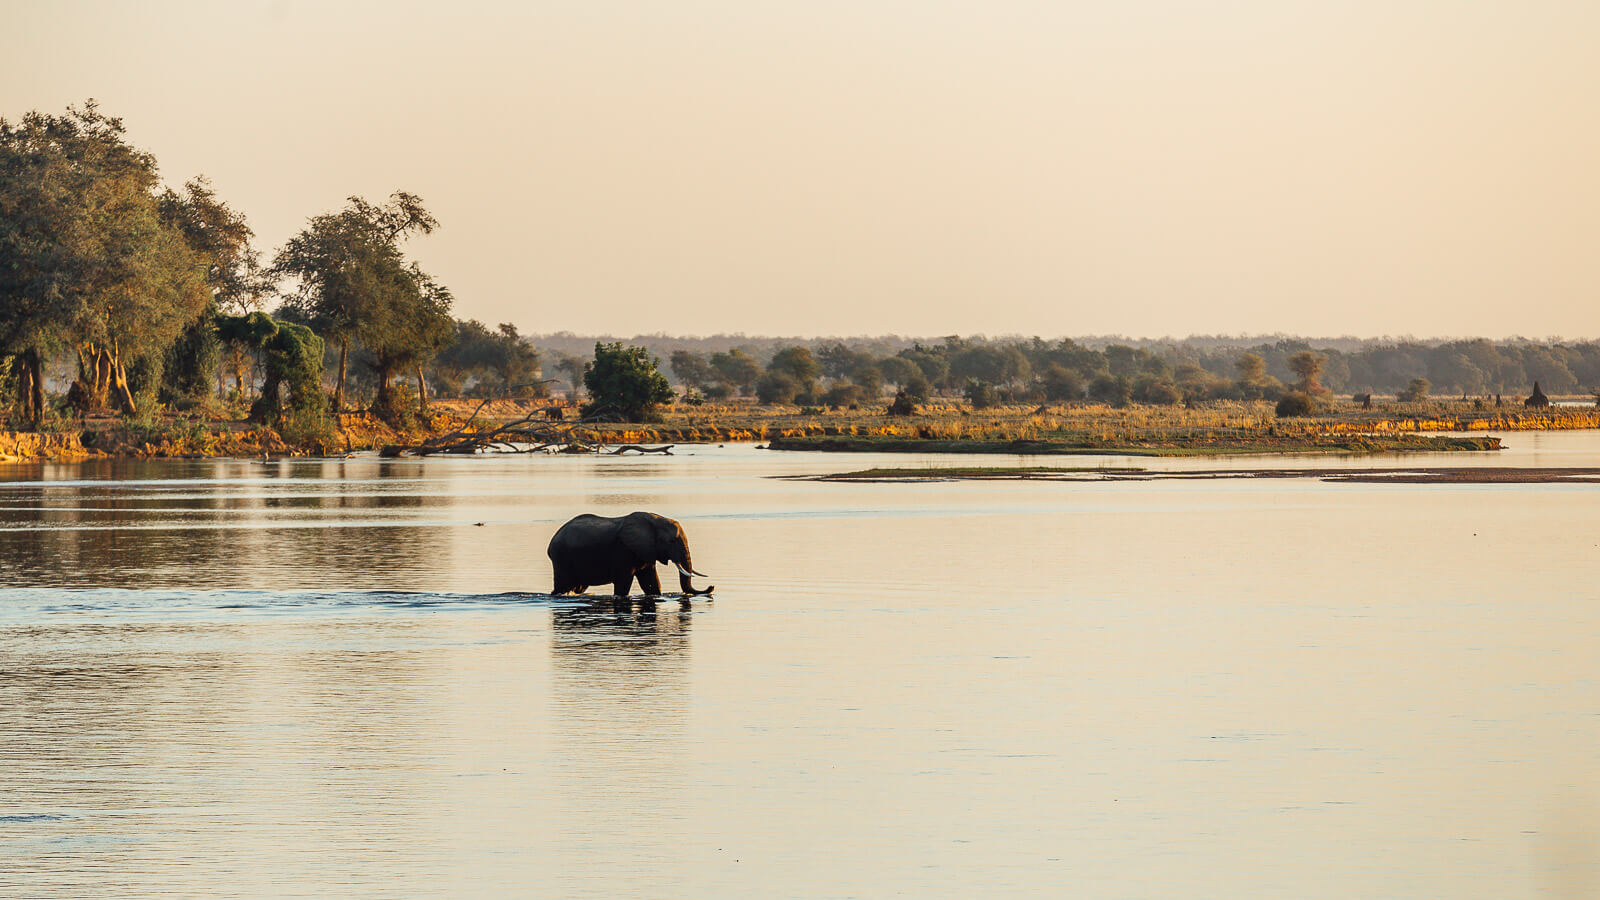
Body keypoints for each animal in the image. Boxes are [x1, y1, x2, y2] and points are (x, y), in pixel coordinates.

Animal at [548, 511, 713, 599]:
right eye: (671, 541)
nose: (711, 586)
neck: (654, 521)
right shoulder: (624, 551)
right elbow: (624, 581)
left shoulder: (646, 551)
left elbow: (651, 581)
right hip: (561, 558)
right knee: (562, 587)